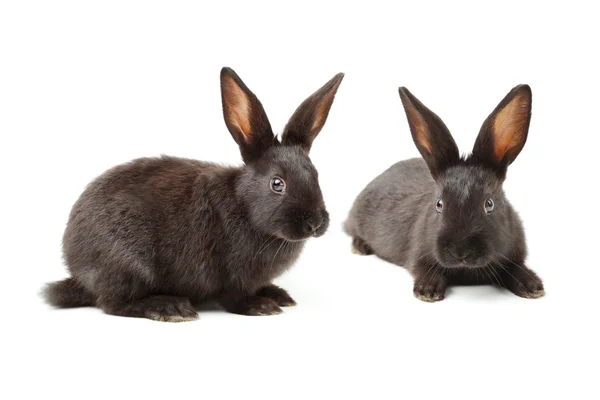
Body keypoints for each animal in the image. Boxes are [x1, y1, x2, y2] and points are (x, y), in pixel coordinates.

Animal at [44, 67, 344, 320]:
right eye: (277, 184)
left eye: (315, 175)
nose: (315, 223)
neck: (245, 207)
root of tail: (78, 273)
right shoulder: (228, 274)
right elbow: (233, 297)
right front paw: (260, 306)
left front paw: (276, 295)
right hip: (127, 264)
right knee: (113, 303)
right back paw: (170, 308)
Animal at [342, 85, 544, 304]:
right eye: (439, 204)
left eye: (489, 204)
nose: (460, 251)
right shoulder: (418, 256)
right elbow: (426, 270)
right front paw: (428, 291)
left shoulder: (514, 255)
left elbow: (516, 269)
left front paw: (532, 286)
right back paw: (360, 247)